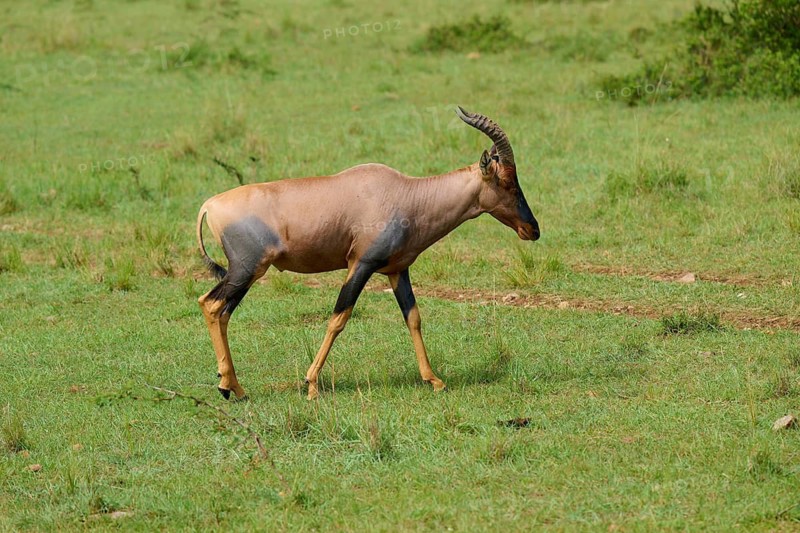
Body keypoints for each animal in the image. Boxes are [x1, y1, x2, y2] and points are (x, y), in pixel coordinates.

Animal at [196, 107, 540, 400]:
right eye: (506, 181)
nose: (532, 229)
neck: (406, 194)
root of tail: (209, 205)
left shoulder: (397, 270)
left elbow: (413, 318)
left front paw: (434, 380)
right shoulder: (361, 264)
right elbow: (338, 318)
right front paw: (311, 385)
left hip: (245, 273)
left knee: (223, 312)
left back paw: (234, 388)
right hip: (246, 269)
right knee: (211, 304)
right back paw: (228, 385)